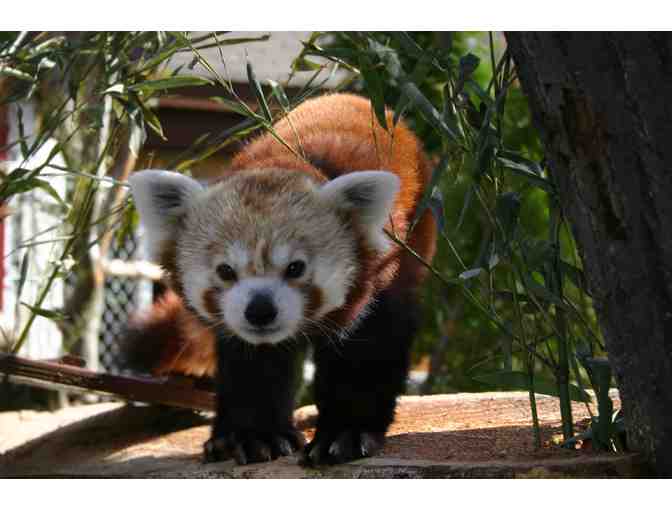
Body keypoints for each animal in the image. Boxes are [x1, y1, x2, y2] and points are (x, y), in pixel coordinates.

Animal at [127, 92, 436, 466]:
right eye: (225, 270)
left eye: (295, 268)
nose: (260, 311)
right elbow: (254, 366)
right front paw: (256, 437)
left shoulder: (380, 279)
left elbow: (366, 353)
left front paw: (346, 435)